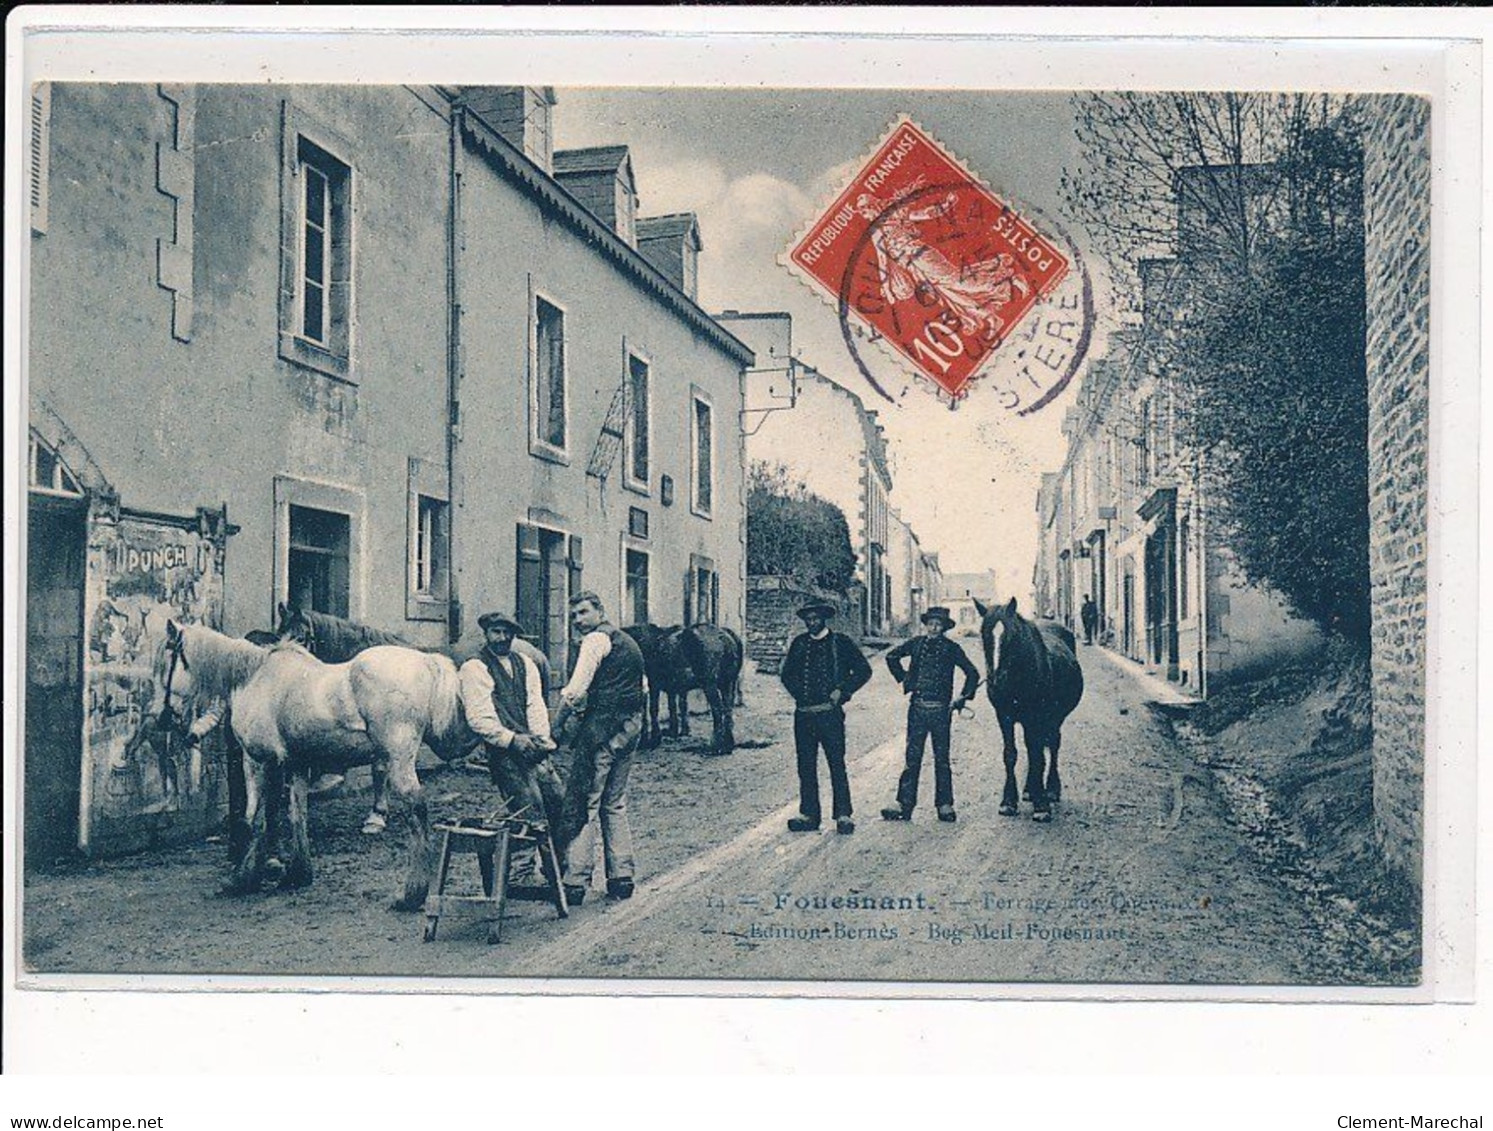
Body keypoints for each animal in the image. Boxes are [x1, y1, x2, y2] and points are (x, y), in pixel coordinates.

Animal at [150, 620, 465, 913]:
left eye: (166, 660)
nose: (160, 717)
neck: (254, 677)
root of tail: (425, 661)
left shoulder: (260, 760)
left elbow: (258, 819)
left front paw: (244, 877)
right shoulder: (296, 765)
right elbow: (296, 814)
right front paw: (297, 874)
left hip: (398, 760)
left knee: (416, 812)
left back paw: (411, 894)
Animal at [618, 623, 740, 757]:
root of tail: (725, 636)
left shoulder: (653, 684)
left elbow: (653, 709)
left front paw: (653, 739)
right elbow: (672, 707)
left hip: (710, 684)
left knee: (717, 710)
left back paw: (715, 746)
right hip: (728, 683)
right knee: (728, 710)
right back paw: (727, 745)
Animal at [973, 596, 1080, 829]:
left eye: (1011, 635)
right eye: (983, 634)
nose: (997, 679)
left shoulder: (1037, 717)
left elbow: (1037, 754)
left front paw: (1041, 806)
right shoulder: (1004, 716)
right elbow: (1011, 754)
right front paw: (1008, 802)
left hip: (1055, 718)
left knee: (1052, 744)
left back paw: (1050, 789)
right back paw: (1030, 790)